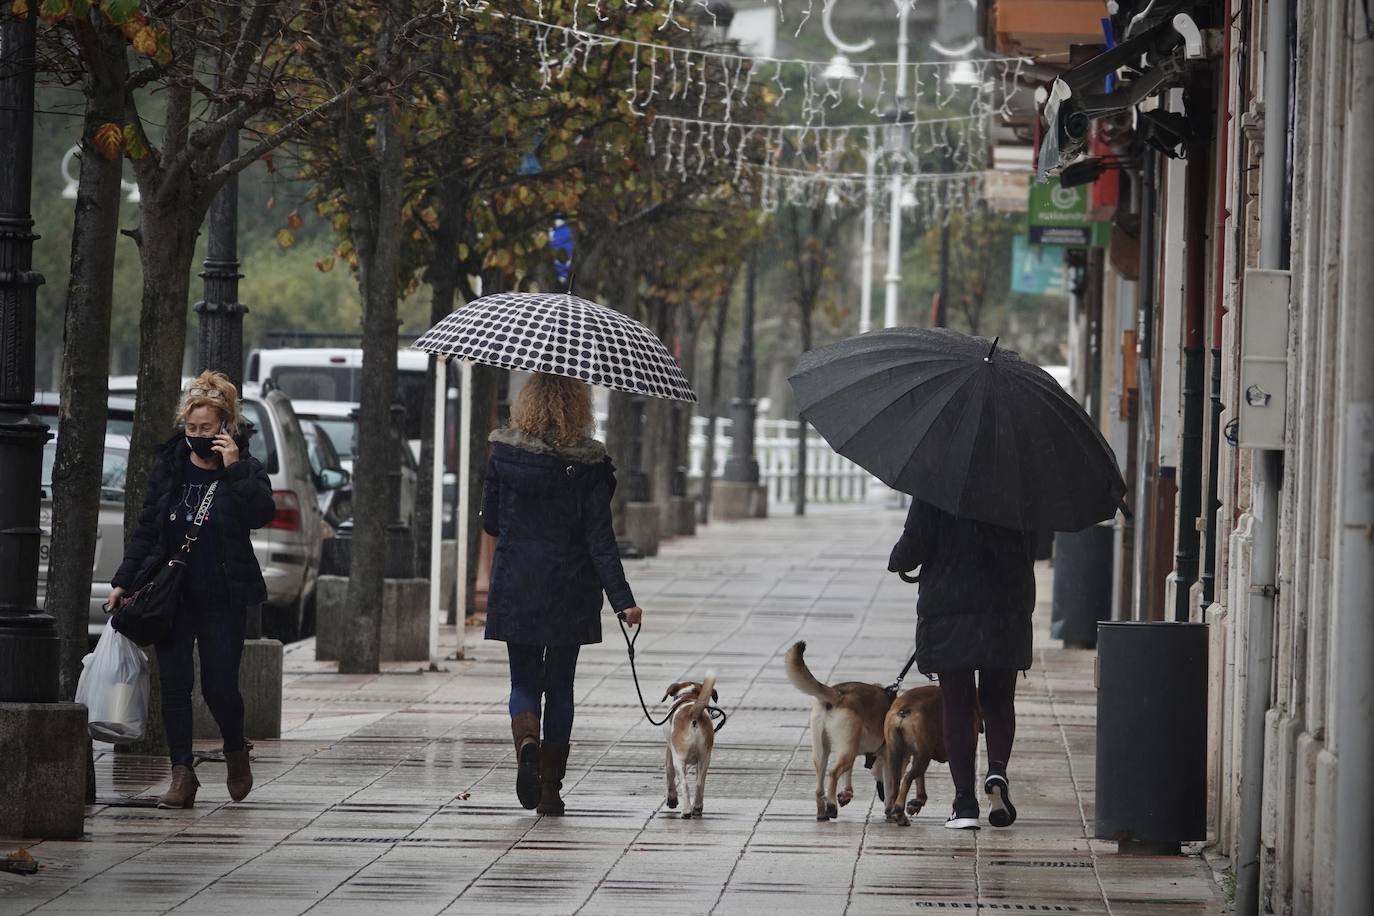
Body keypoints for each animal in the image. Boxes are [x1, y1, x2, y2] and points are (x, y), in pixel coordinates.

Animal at [662, 672, 719, 818]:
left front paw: (671, 799)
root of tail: (693, 713)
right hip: (705, 759)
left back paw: (686, 811)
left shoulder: (669, 752)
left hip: (678, 759)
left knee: (684, 784)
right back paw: (697, 808)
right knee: (699, 784)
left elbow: (669, 773)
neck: (688, 695)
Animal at [785, 642, 890, 818]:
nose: (881, 796)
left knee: (820, 784)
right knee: (833, 773)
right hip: (844, 750)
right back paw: (831, 806)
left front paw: (847, 793)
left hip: (823, 751)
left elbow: (848, 773)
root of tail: (839, 694)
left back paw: (823, 812)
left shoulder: (853, 748)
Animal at [879, 686, 945, 823]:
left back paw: (893, 811)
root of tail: (905, 707)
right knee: (908, 777)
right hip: (923, 755)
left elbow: (920, 779)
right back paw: (899, 811)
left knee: (896, 782)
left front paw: (916, 802)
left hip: (896, 753)